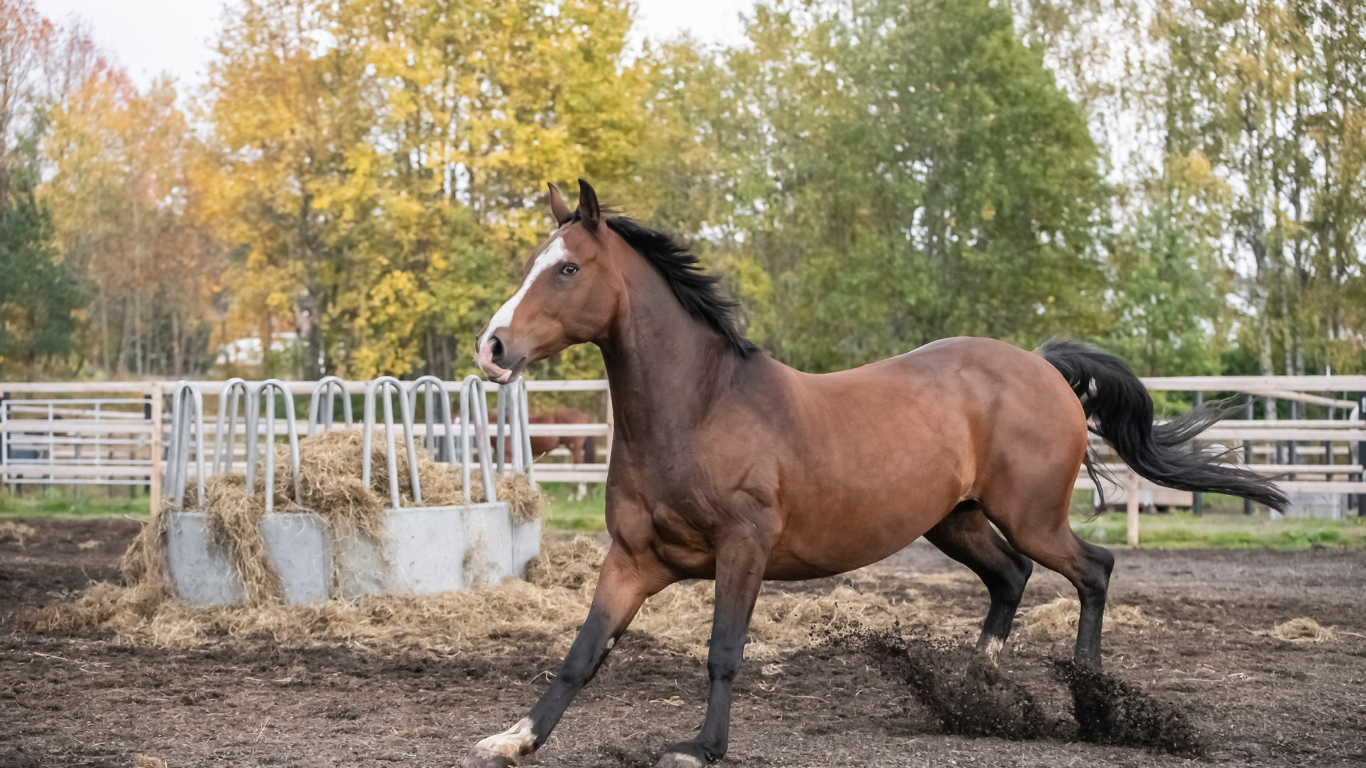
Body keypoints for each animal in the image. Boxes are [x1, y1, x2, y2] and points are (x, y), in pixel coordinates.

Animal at [464, 180, 1284, 765]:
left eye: (568, 268)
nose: (493, 348)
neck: (699, 410)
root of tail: (1042, 365)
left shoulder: (743, 549)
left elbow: (724, 650)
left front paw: (701, 749)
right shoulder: (634, 559)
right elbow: (581, 654)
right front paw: (514, 739)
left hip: (1032, 516)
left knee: (1094, 569)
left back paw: (1089, 707)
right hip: (955, 521)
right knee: (1011, 577)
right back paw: (976, 695)